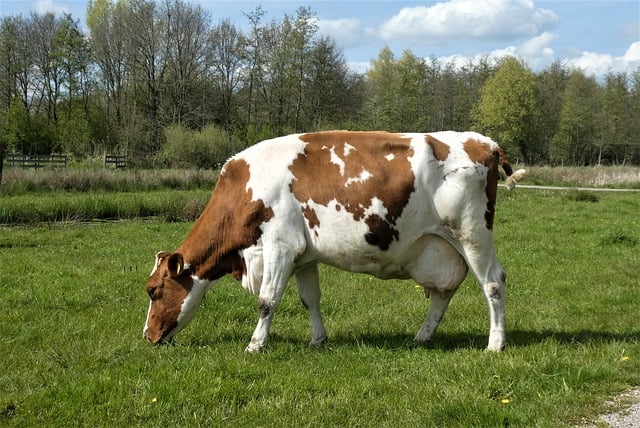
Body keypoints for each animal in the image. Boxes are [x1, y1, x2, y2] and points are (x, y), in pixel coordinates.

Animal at [145, 130, 524, 352]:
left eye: (153, 291)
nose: (147, 336)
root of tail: (484, 142)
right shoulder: (303, 255)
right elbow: (309, 299)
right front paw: (318, 339)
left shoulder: (280, 246)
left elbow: (267, 301)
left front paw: (255, 345)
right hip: (442, 245)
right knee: (444, 291)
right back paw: (422, 335)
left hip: (471, 234)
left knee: (493, 282)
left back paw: (495, 343)